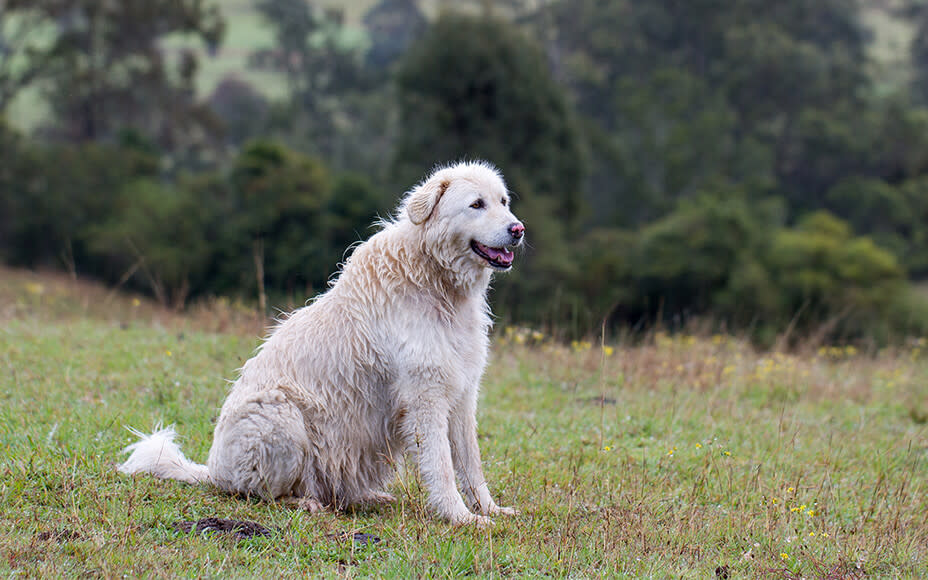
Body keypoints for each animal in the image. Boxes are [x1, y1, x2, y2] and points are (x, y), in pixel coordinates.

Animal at [118, 160, 520, 524]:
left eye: (503, 201)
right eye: (476, 204)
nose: (518, 229)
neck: (436, 280)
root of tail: (213, 472)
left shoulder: (462, 394)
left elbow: (470, 463)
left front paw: (489, 509)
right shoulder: (427, 396)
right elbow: (442, 466)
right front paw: (460, 517)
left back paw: (368, 497)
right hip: (282, 416)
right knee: (262, 493)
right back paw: (305, 503)